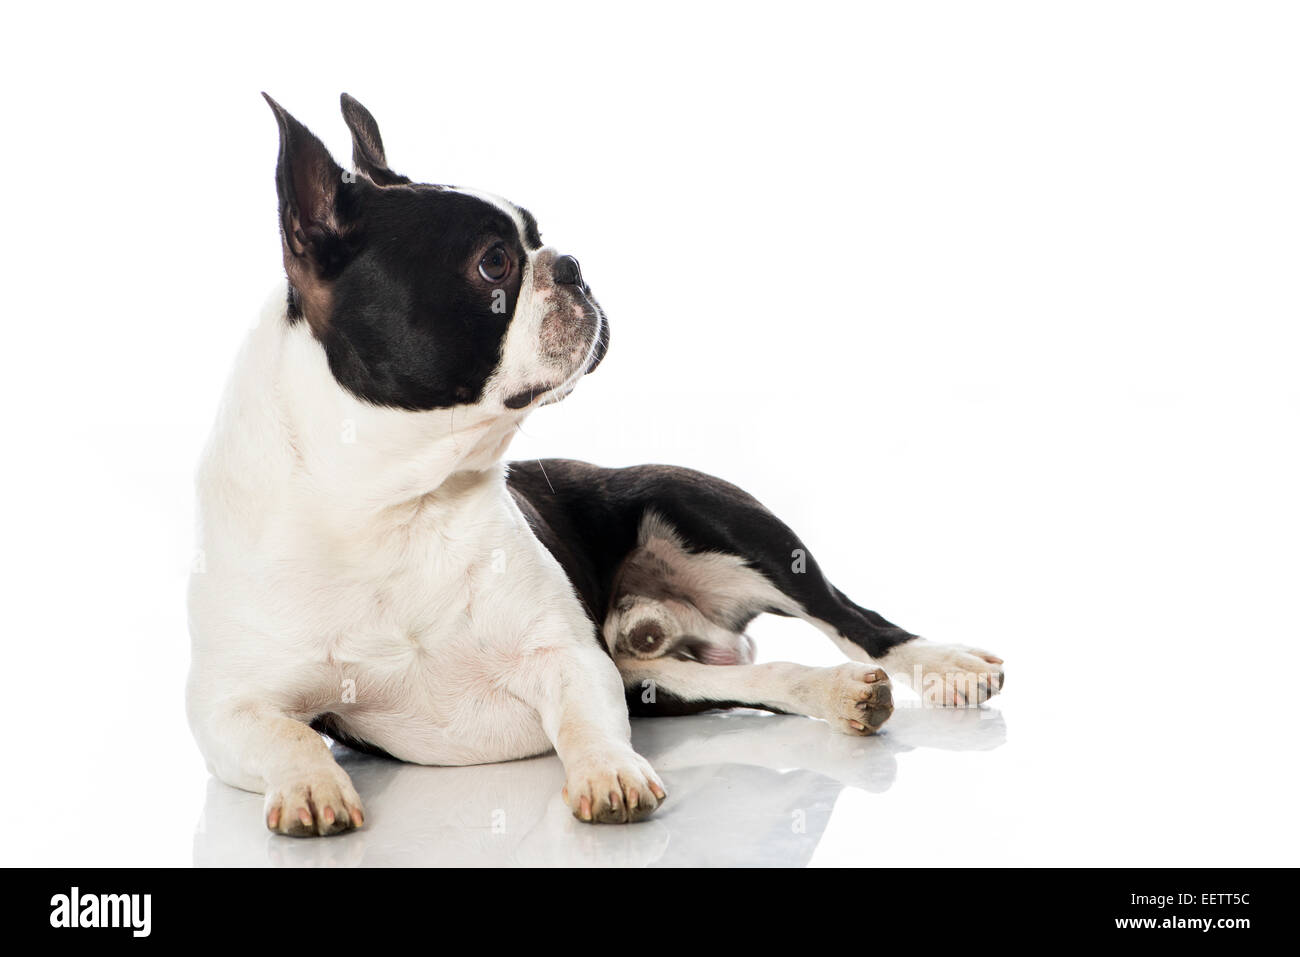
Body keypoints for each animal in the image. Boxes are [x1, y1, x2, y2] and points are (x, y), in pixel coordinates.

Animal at [185, 93, 1003, 832]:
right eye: (495, 263)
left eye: (539, 238)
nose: (573, 265)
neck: (395, 500)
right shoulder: (228, 709)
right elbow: (287, 734)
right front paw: (310, 786)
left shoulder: (570, 659)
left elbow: (583, 723)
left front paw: (610, 773)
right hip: (652, 673)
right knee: (741, 672)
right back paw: (835, 693)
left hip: (707, 507)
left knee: (854, 617)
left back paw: (944, 666)